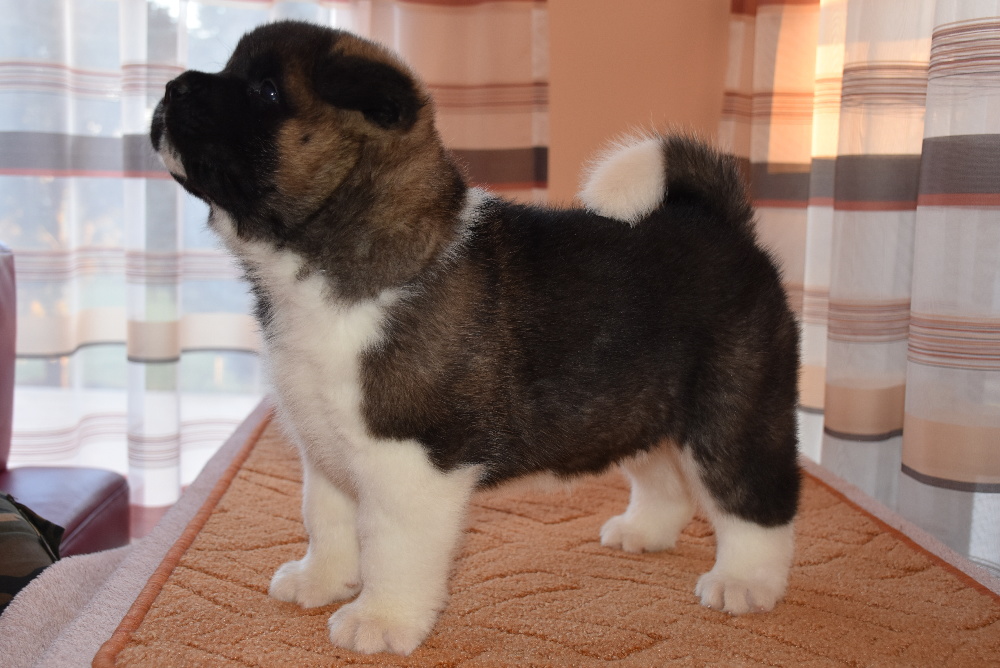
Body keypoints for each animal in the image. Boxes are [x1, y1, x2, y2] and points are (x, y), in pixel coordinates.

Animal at [151, 20, 801, 656]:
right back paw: (645, 532)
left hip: (730, 411)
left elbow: (389, 547)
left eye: (265, 91)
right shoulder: (324, 440)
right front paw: (321, 581)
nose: (172, 88)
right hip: (636, 407)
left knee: (753, 499)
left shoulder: (408, 458)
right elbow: (327, 519)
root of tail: (724, 226)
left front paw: (380, 619)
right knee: (666, 476)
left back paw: (745, 582)